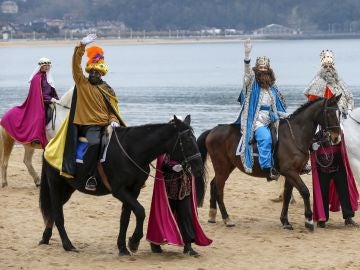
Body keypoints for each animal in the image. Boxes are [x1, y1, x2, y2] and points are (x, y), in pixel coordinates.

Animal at [39, 115, 204, 254]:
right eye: (187, 141)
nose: (199, 168)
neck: (132, 151)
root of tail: (50, 146)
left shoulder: (133, 190)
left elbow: (125, 217)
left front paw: (123, 247)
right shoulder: (119, 190)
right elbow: (140, 211)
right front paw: (134, 242)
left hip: (68, 188)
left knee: (53, 210)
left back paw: (45, 238)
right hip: (56, 184)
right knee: (57, 213)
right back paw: (67, 245)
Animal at [195, 94, 342, 229]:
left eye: (340, 113)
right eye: (329, 113)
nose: (336, 138)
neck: (294, 135)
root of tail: (212, 130)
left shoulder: (291, 173)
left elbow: (287, 195)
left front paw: (285, 221)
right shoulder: (290, 172)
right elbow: (305, 191)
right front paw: (309, 220)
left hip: (227, 167)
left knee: (214, 185)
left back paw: (212, 215)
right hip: (222, 167)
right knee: (219, 189)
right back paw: (227, 219)